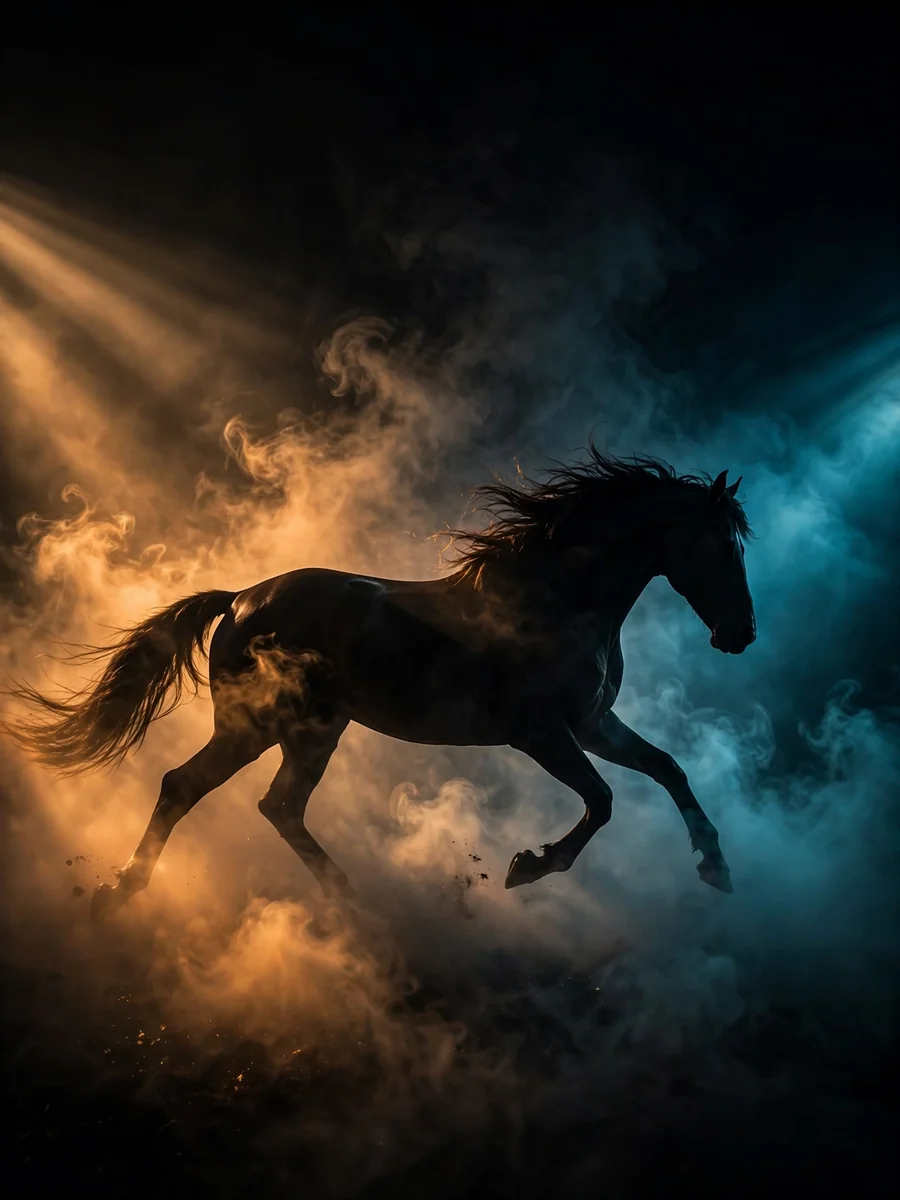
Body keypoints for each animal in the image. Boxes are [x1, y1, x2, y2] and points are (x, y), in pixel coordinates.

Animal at [2, 451, 756, 918]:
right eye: (723, 545)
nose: (741, 634)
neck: (557, 600)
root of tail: (241, 598)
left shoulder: (593, 724)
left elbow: (669, 768)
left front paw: (716, 867)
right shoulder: (540, 733)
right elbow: (602, 802)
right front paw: (527, 866)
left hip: (314, 730)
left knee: (277, 806)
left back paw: (350, 902)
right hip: (262, 725)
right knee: (185, 787)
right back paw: (120, 894)